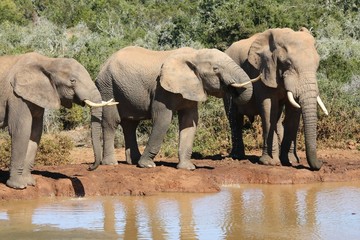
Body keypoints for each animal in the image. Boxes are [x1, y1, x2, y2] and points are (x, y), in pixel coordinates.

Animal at [0, 51, 114, 188]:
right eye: (72, 81)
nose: (89, 167)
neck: (49, 62)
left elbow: (35, 133)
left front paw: (30, 183)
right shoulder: (16, 96)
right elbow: (21, 131)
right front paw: (18, 186)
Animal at [90, 46, 258, 171]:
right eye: (216, 69)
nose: (232, 89)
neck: (194, 55)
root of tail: (104, 63)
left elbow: (190, 122)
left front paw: (187, 168)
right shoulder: (160, 90)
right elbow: (163, 120)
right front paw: (147, 165)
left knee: (130, 124)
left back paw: (133, 161)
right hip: (108, 86)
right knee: (112, 122)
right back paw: (111, 163)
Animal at [225, 27, 330, 171]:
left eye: (317, 65)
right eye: (288, 63)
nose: (321, 163)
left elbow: (293, 112)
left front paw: (290, 161)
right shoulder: (262, 71)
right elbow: (268, 108)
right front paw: (270, 163)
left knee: (277, 118)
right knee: (235, 118)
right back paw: (237, 157)